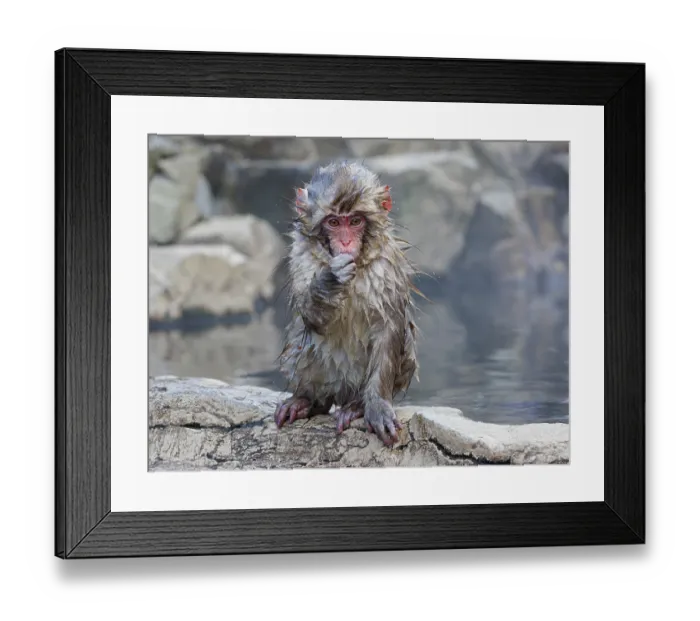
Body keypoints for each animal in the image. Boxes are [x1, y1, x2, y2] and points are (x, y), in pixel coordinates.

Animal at [274, 160, 419, 448]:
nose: (345, 242)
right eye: (333, 222)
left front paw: (376, 406)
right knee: (302, 341)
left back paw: (357, 406)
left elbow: (388, 327)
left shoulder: (387, 266)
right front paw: (330, 279)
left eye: (355, 221)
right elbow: (310, 317)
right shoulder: (301, 256)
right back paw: (307, 400)